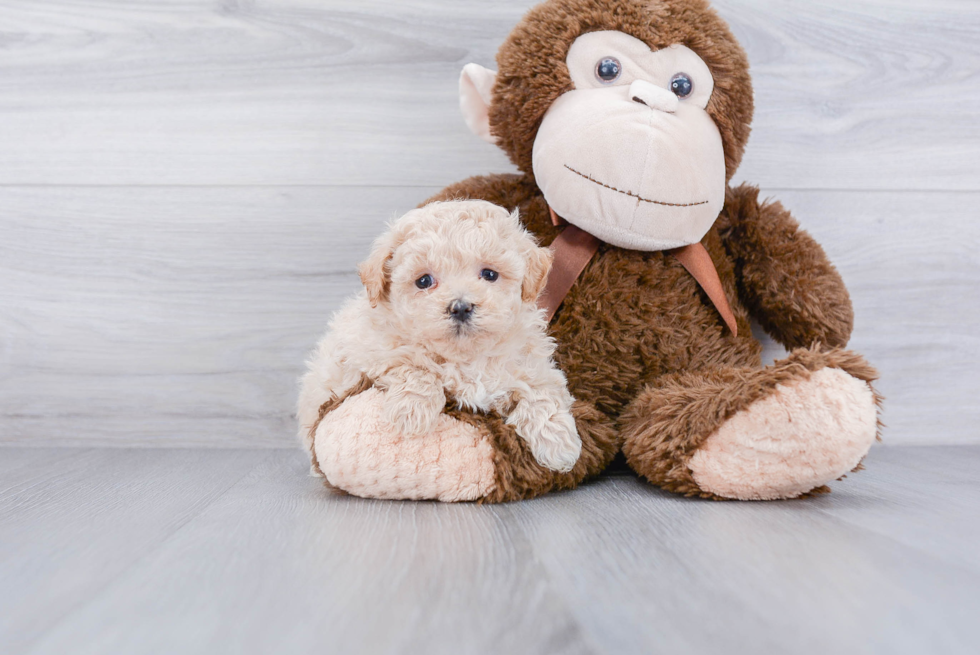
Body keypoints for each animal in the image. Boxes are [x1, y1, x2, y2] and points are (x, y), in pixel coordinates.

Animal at [294, 199, 580, 472]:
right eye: (423, 281)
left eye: (489, 274)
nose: (460, 307)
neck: (465, 357)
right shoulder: (367, 354)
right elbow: (412, 367)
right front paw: (411, 412)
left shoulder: (534, 368)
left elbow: (542, 394)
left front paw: (558, 444)